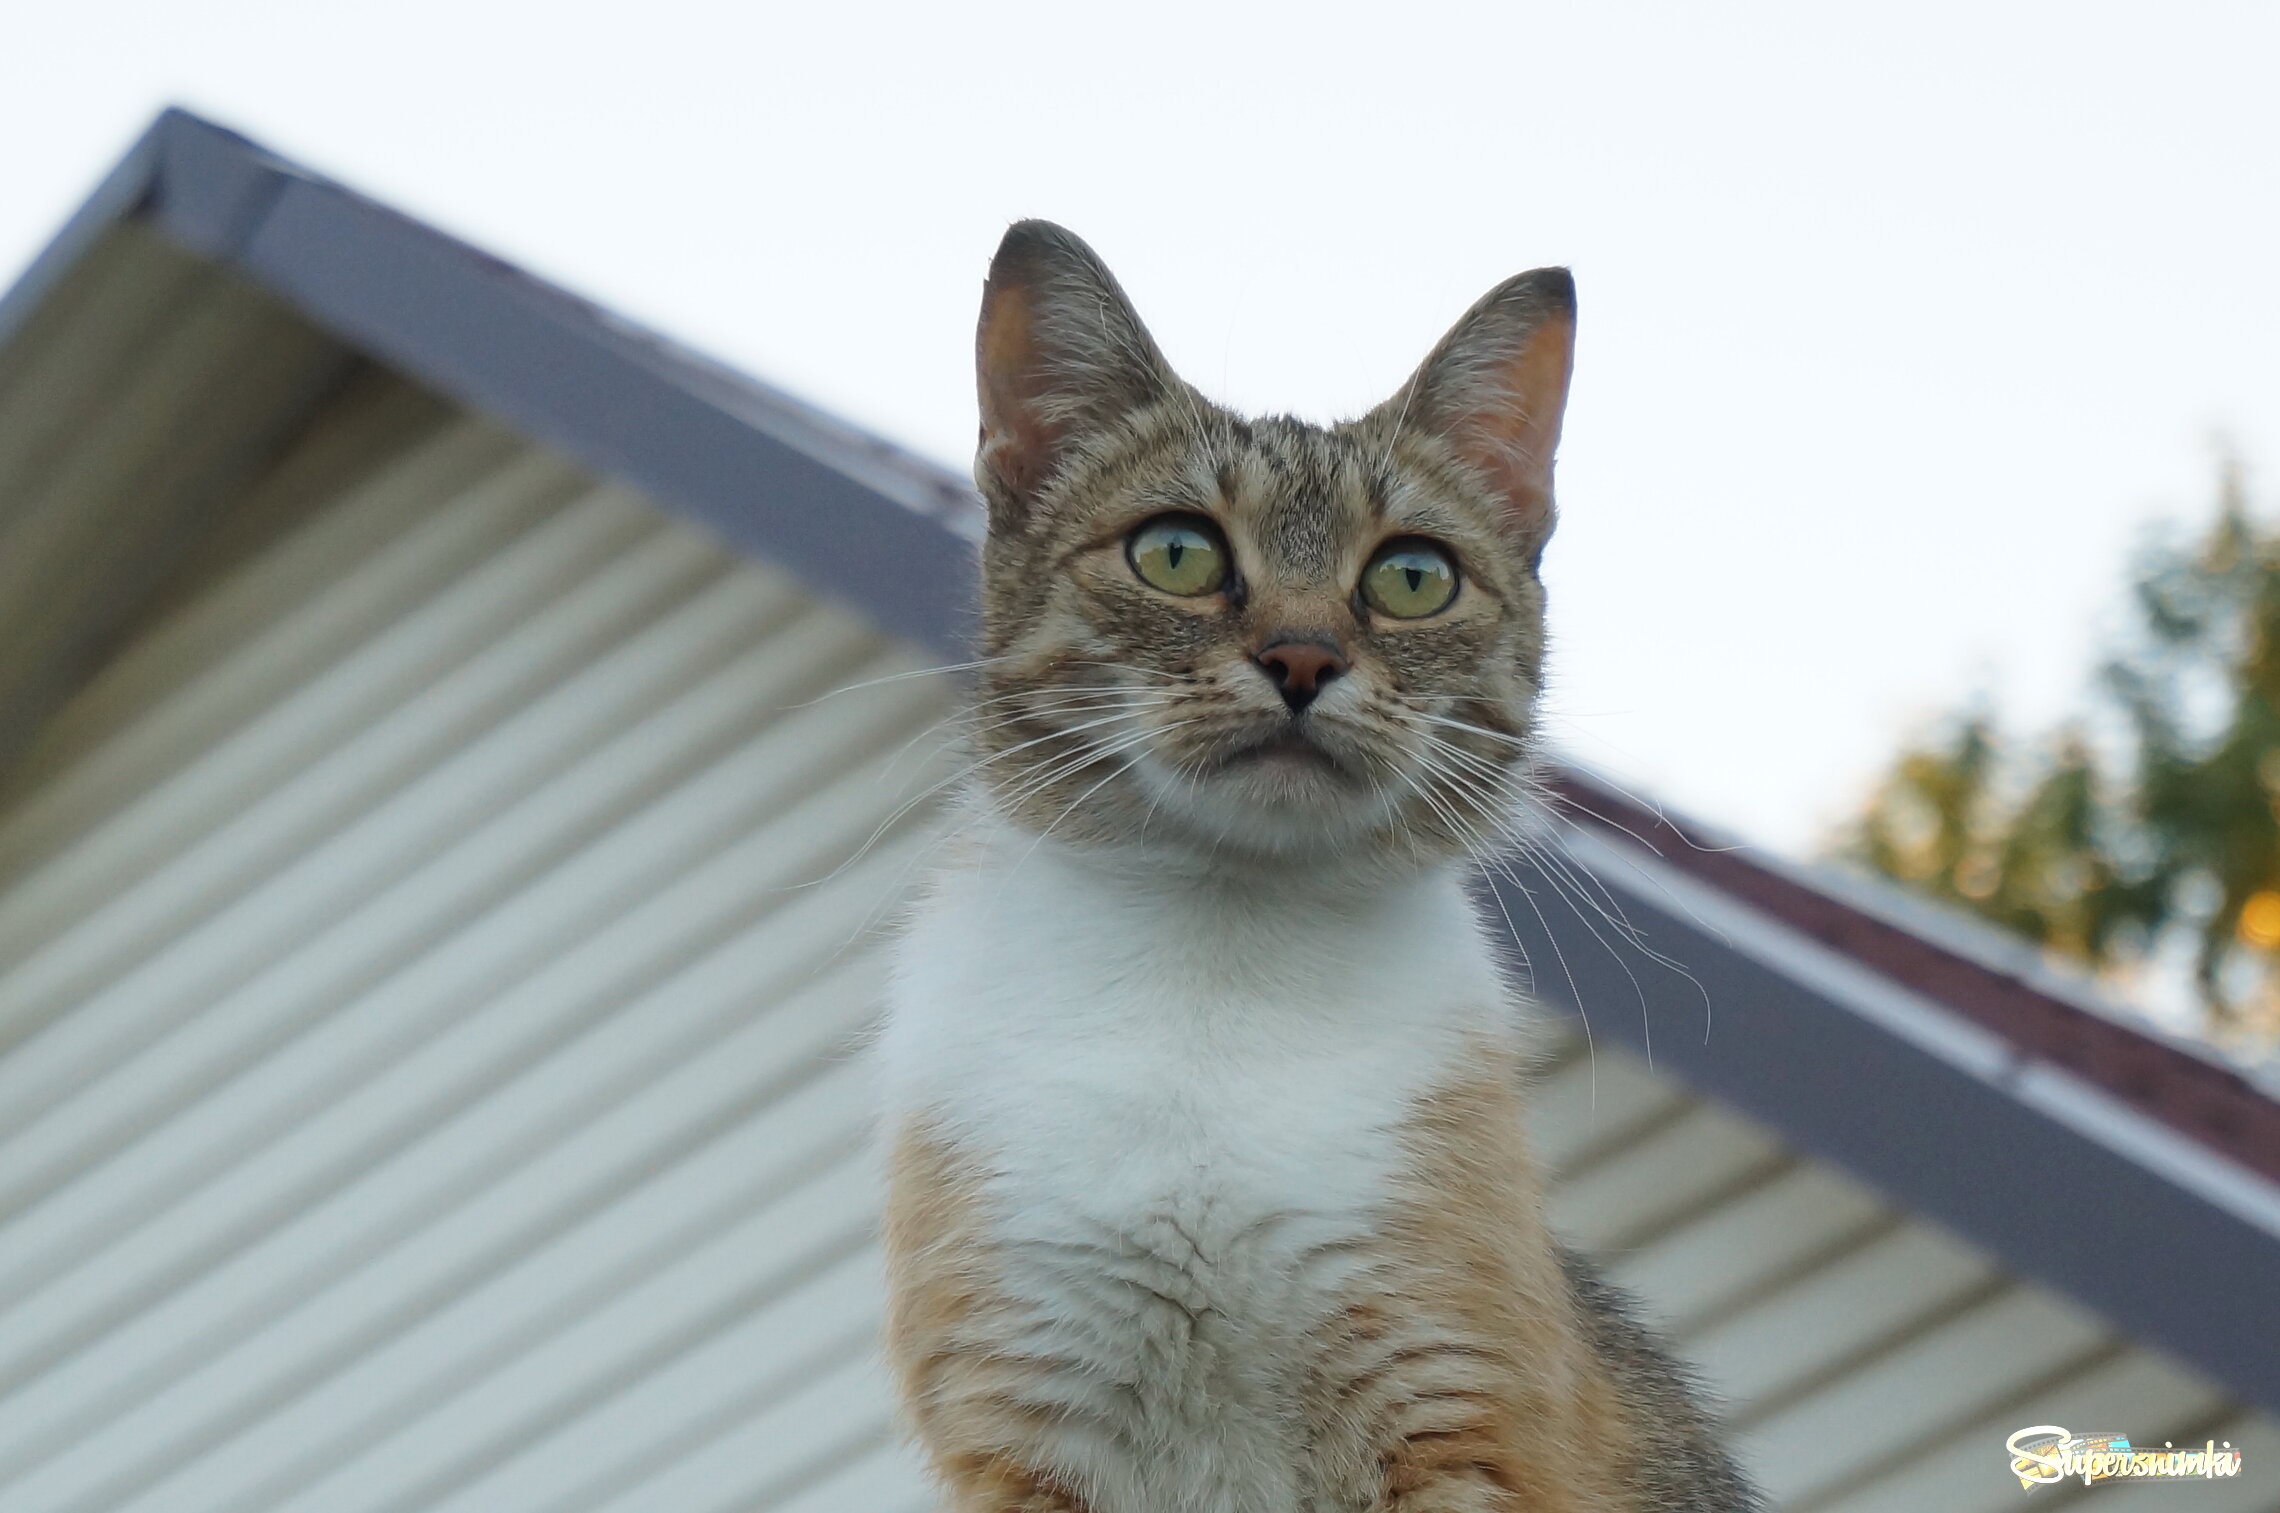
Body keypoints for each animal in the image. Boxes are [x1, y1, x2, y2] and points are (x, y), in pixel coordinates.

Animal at [875, 215, 1760, 1513]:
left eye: (1412, 576)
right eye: (1177, 554)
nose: (1302, 657)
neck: (1221, 959)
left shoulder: (1452, 1405)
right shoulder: (1025, 1423)